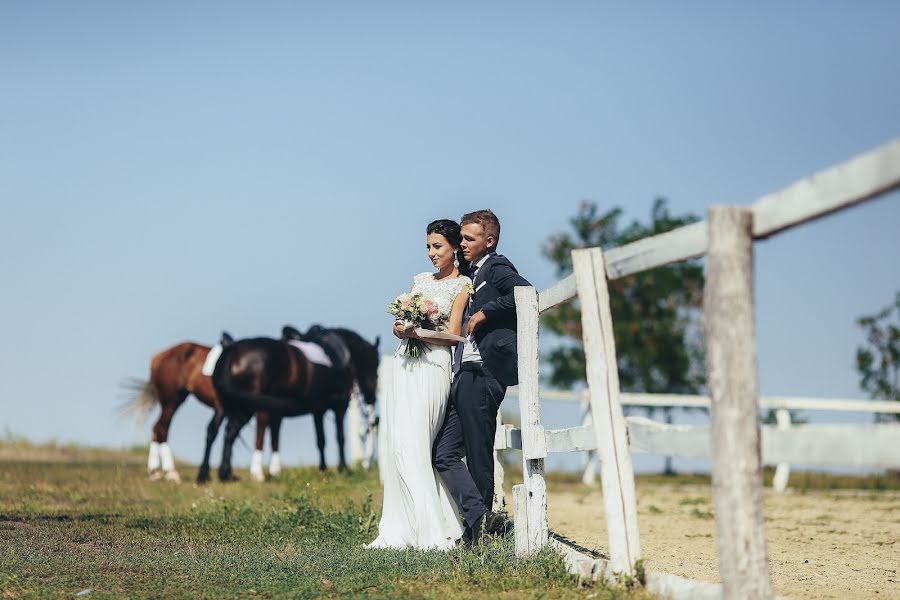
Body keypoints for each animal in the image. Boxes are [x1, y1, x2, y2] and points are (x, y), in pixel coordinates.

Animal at [205, 328, 380, 482]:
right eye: (375, 364)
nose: (372, 397)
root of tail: (232, 349)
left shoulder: (318, 410)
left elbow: (320, 440)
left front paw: (323, 469)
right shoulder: (339, 406)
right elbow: (340, 437)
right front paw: (343, 469)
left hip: (232, 405)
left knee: (223, 432)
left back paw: (220, 474)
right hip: (249, 405)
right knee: (239, 432)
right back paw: (252, 473)